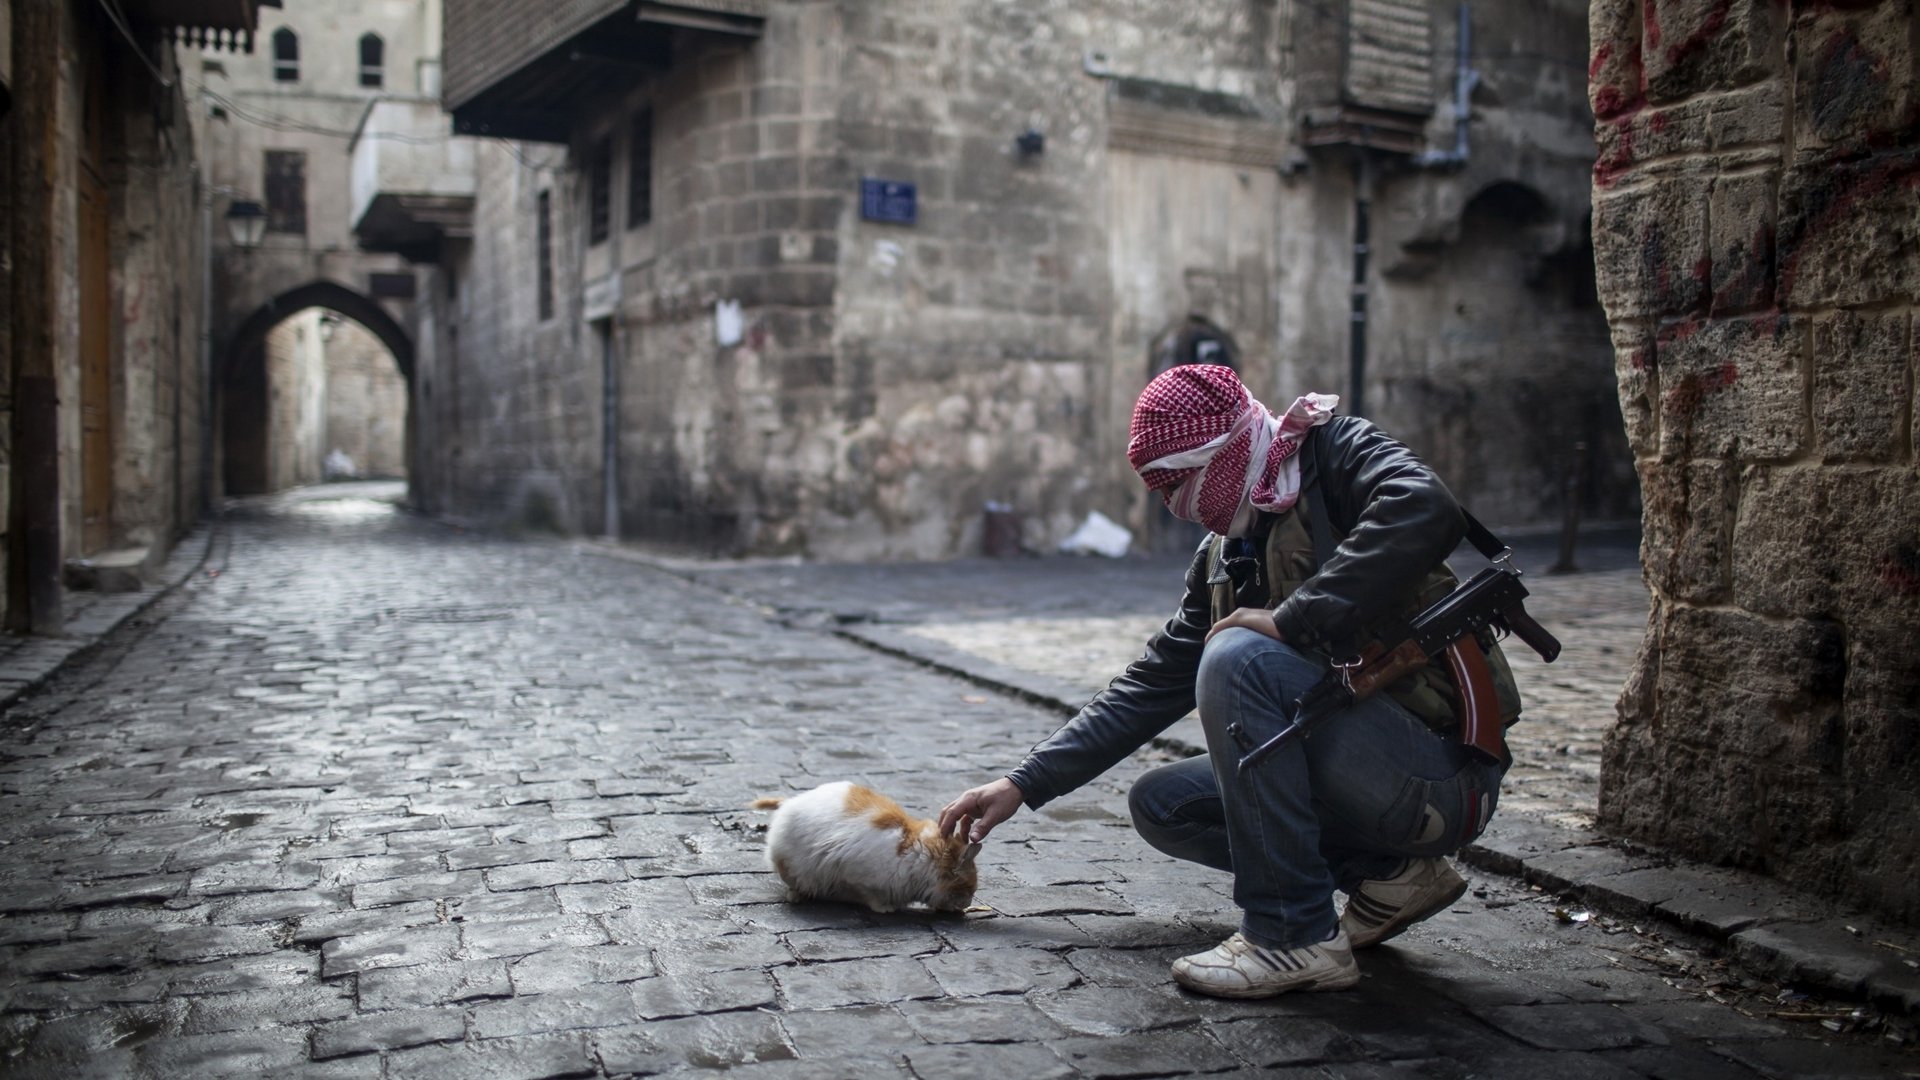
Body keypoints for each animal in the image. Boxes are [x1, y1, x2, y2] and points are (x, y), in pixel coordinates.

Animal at [748, 776, 983, 910]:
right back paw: (797, 896)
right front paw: (886, 908)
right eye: (969, 889)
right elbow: (871, 898)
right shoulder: (858, 879)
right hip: (792, 865)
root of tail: (790, 802)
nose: (968, 904)